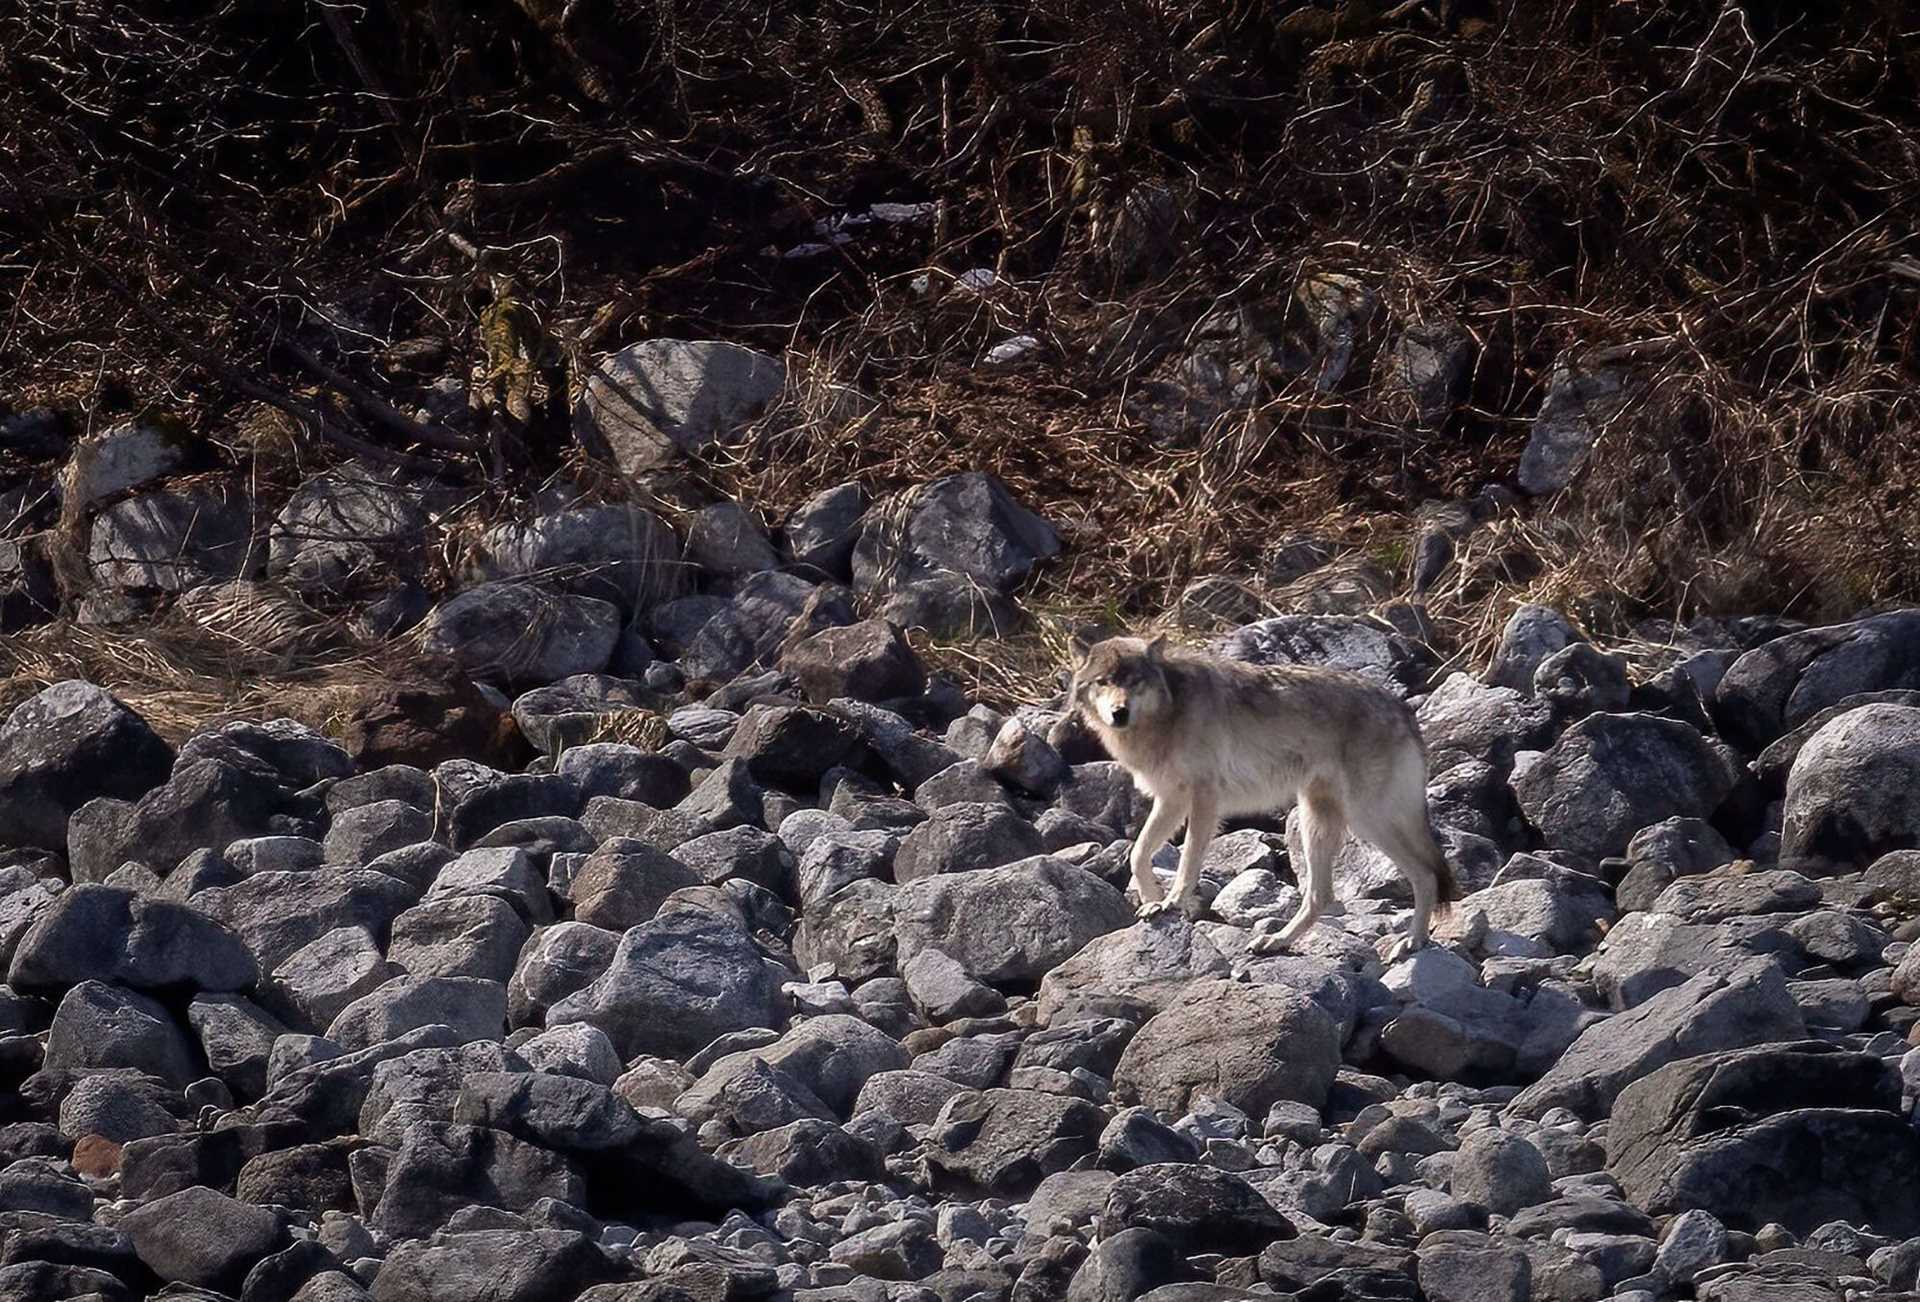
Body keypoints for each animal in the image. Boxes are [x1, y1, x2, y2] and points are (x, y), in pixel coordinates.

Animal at [1067, 637, 1451, 964]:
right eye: (1103, 682)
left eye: (1135, 682)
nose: (1119, 713)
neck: (1169, 711)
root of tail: (1404, 710)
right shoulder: (1170, 799)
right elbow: (1138, 853)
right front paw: (1152, 900)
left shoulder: (1204, 798)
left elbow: (1187, 862)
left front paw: (1172, 902)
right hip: (1318, 821)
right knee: (1322, 896)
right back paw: (1277, 941)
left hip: (1365, 819)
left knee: (1425, 874)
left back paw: (1412, 941)